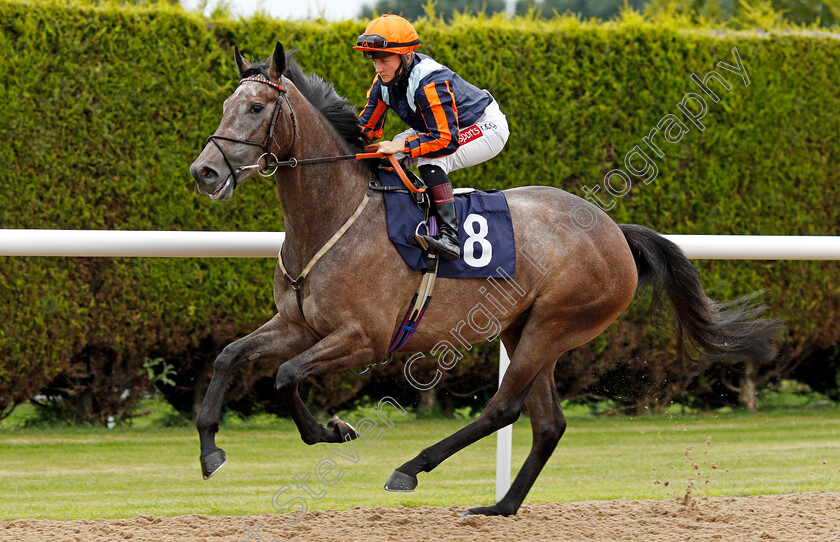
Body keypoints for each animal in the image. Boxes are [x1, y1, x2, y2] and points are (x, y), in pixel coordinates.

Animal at [190, 43, 780, 520]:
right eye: (224, 105)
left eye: (257, 107)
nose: (204, 172)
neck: (333, 216)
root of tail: (614, 230)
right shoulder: (297, 324)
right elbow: (229, 356)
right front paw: (211, 452)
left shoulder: (364, 338)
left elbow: (286, 375)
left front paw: (329, 431)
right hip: (524, 328)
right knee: (548, 423)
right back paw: (501, 506)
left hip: (553, 324)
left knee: (504, 408)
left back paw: (412, 468)